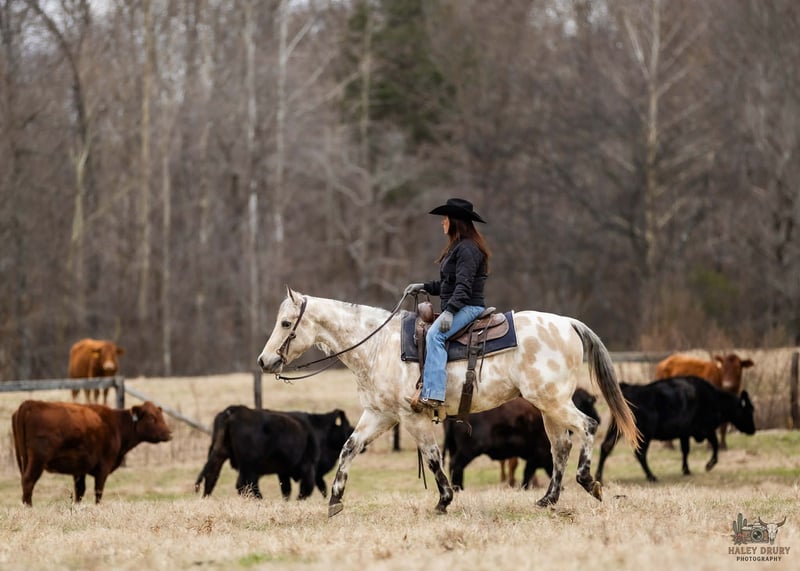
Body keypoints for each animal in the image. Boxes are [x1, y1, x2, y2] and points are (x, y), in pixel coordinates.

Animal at [12, 400, 172, 506]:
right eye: (152, 417)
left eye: (161, 416)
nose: (169, 433)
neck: (116, 425)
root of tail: (30, 404)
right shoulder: (103, 467)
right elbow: (98, 491)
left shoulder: (79, 469)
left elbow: (80, 491)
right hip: (37, 461)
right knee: (28, 481)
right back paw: (29, 507)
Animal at [195, 406, 353, 500]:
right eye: (349, 430)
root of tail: (233, 410)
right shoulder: (309, 468)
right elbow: (305, 490)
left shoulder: (283, 472)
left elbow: (287, 490)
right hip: (249, 466)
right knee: (244, 485)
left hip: (220, 455)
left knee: (212, 478)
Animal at [443, 388, 601, 491]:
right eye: (588, 403)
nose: (598, 419)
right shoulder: (538, 456)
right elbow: (530, 474)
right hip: (469, 450)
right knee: (456, 464)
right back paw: (458, 488)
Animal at [595, 376, 756, 483]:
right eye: (749, 410)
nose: (753, 430)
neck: (713, 399)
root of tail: (628, 388)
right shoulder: (705, 429)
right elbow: (715, 445)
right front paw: (709, 465)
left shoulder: (685, 433)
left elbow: (685, 450)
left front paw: (686, 470)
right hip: (645, 434)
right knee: (640, 454)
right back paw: (652, 476)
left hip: (617, 430)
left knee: (606, 447)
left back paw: (599, 477)